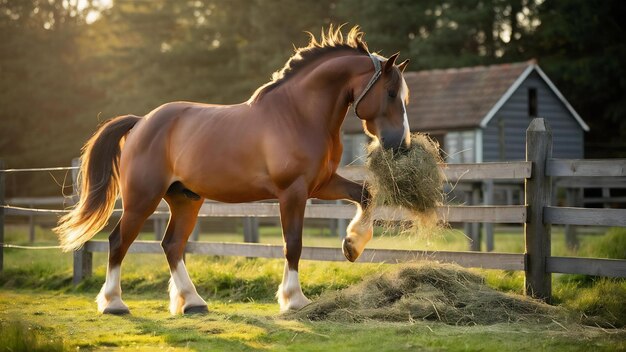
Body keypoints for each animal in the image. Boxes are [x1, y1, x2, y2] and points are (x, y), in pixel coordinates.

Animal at [53, 26, 410, 314]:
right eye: (391, 93)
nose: (401, 145)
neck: (298, 114)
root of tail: (142, 122)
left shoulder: (320, 184)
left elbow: (365, 195)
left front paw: (352, 245)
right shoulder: (292, 191)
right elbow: (293, 243)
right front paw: (293, 299)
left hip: (185, 199)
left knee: (172, 245)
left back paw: (192, 302)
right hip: (142, 198)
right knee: (118, 241)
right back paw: (113, 303)